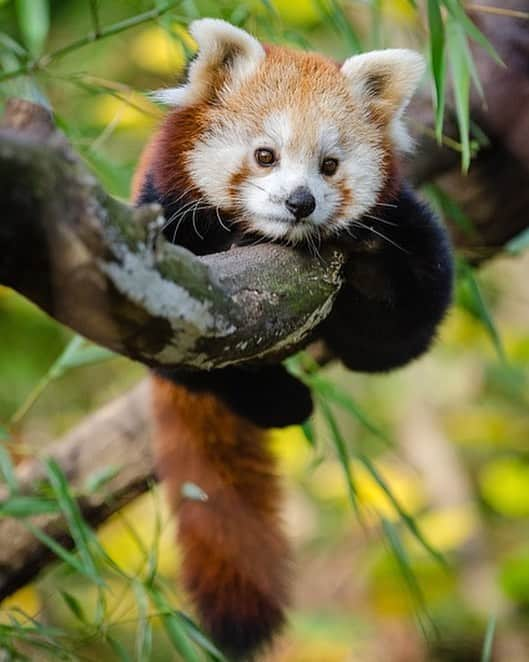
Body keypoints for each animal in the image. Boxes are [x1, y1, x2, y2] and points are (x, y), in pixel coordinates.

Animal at [132, 18, 450, 660]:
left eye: (329, 164)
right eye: (265, 156)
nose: (299, 202)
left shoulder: (408, 228)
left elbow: (396, 339)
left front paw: (368, 267)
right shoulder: (159, 219)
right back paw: (281, 400)